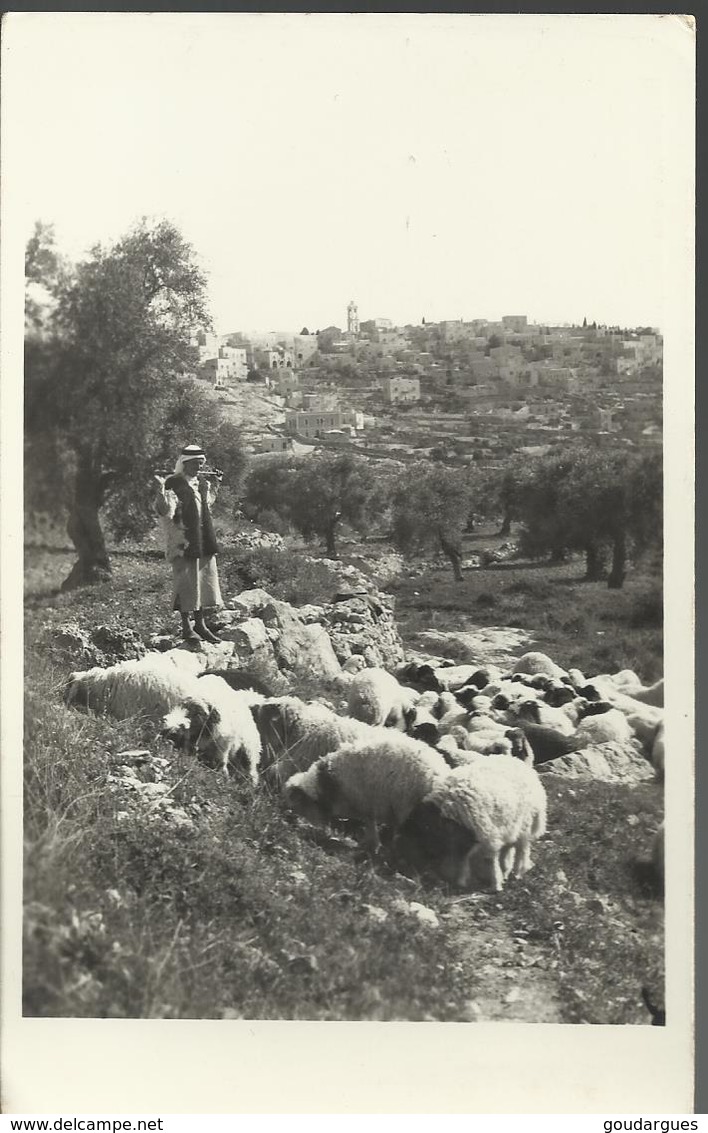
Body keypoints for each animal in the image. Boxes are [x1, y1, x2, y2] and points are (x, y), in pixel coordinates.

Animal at [282, 734, 446, 852]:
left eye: (298, 802)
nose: (289, 818)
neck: (326, 781)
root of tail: (438, 770)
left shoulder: (365, 802)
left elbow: (370, 824)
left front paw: (372, 846)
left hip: (407, 807)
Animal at [398, 752, 546, 892]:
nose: (414, 875)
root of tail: (517, 761)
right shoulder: (462, 840)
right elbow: (462, 860)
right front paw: (461, 881)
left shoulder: (486, 837)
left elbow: (489, 860)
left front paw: (495, 884)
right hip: (510, 825)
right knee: (508, 848)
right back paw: (505, 871)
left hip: (525, 824)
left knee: (522, 849)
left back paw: (518, 872)